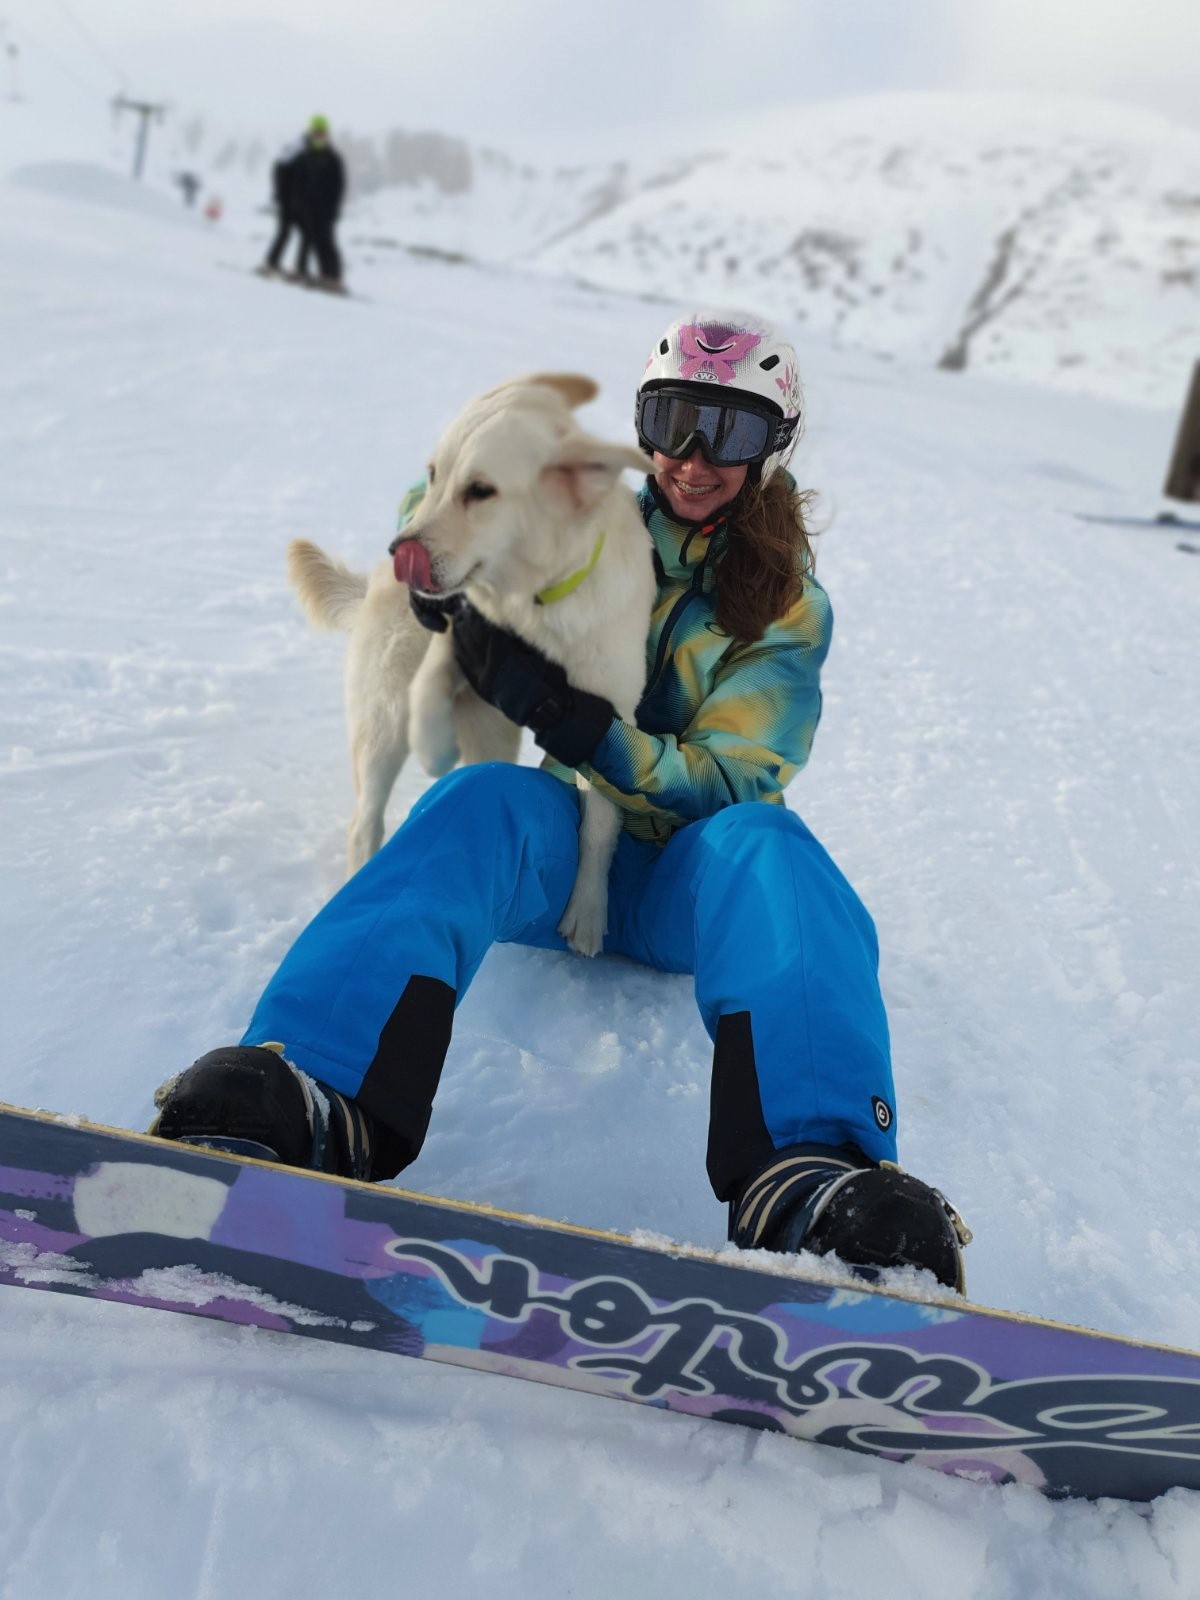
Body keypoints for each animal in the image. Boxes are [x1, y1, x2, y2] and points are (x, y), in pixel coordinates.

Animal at [288, 371, 652, 960]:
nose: (399, 551)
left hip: (493, 734)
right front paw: (434, 746)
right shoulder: (465, 633)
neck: (534, 606)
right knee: (365, 819)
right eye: (433, 474)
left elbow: (599, 822)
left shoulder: (609, 712)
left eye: (480, 491)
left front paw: (587, 913)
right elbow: (431, 683)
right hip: (381, 725)